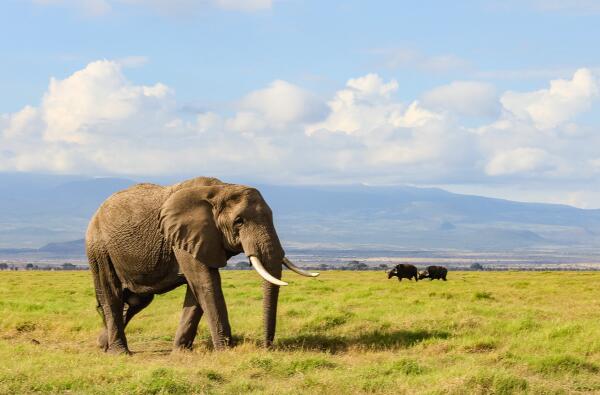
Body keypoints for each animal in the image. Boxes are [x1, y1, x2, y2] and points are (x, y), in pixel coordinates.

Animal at [86, 178, 318, 354]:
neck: (220, 188)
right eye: (239, 221)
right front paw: (226, 351)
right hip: (99, 247)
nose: (266, 347)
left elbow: (196, 289)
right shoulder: (183, 236)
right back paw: (119, 352)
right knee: (112, 294)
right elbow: (206, 283)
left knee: (137, 300)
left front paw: (181, 352)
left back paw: (103, 344)